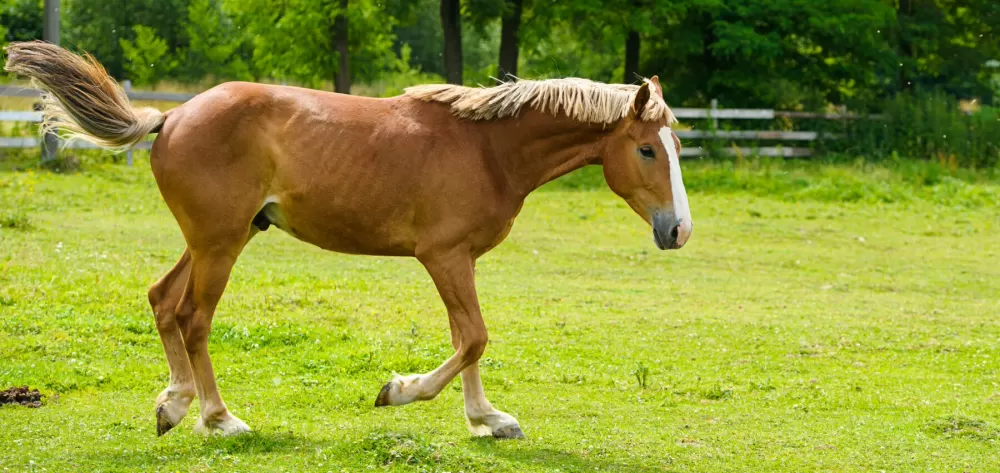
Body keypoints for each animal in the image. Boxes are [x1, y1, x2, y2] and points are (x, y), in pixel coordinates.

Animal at [5, 41, 696, 438]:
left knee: (162, 301)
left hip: (217, 238)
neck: (489, 148)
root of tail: (171, 116)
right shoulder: (444, 257)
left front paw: (487, 420)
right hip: (219, 245)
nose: (678, 229)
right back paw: (219, 420)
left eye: (676, 145)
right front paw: (400, 392)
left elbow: (469, 339)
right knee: (194, 318)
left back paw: (172, 406)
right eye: (644, 149)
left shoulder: (462, 261)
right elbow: (473, 337)